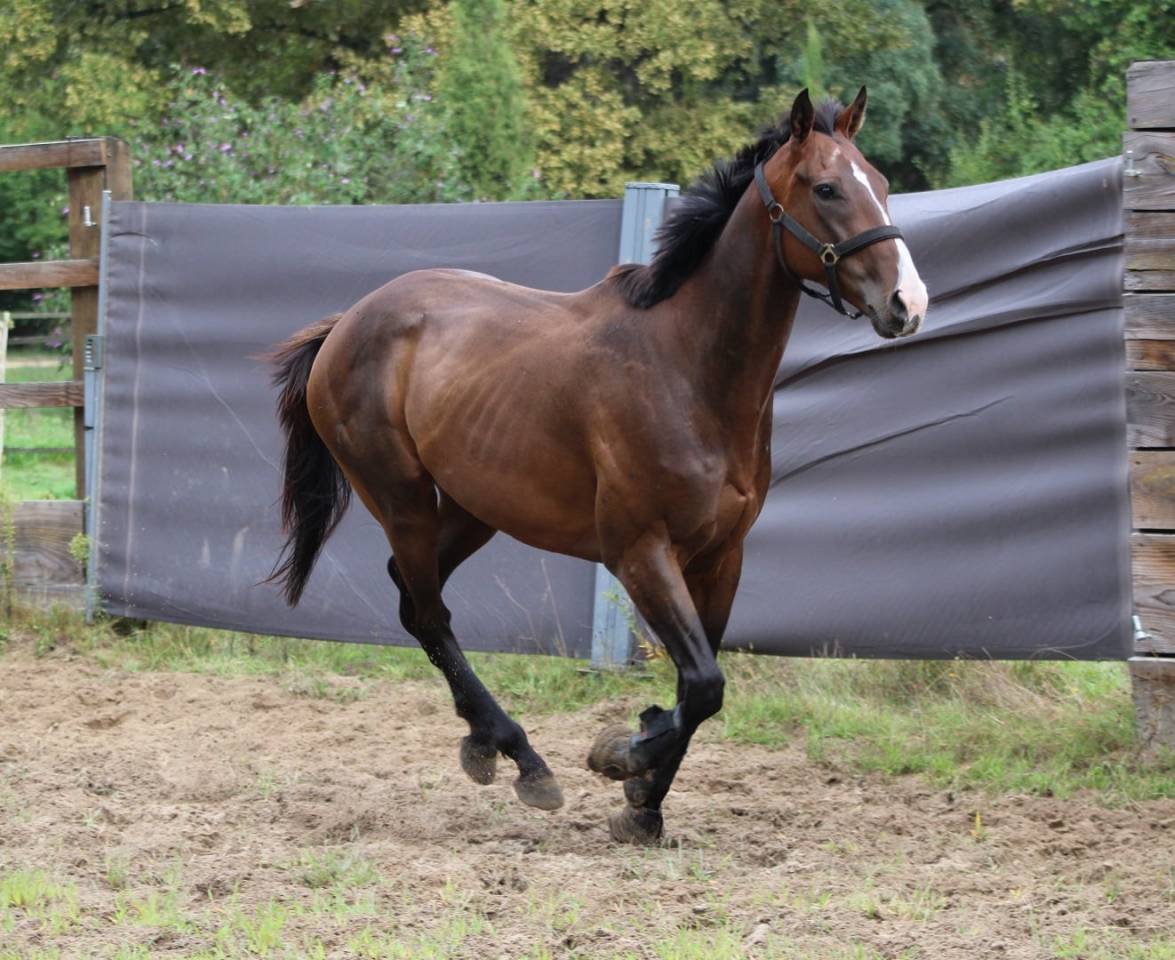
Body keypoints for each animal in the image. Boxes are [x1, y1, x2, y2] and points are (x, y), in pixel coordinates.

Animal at [267, 87, 928, 845]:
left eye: (880, 183)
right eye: (825, 188)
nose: (908, 303)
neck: (686, 368)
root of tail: (347, 323)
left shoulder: (721, 558)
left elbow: (698, 687)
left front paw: (643, 803)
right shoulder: (638, 551)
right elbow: (704, 684)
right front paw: (622, 758)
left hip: (475, 510)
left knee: (414, 602)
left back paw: (488, 745)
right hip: (400, 497)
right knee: (428, 613)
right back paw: (524, 761)